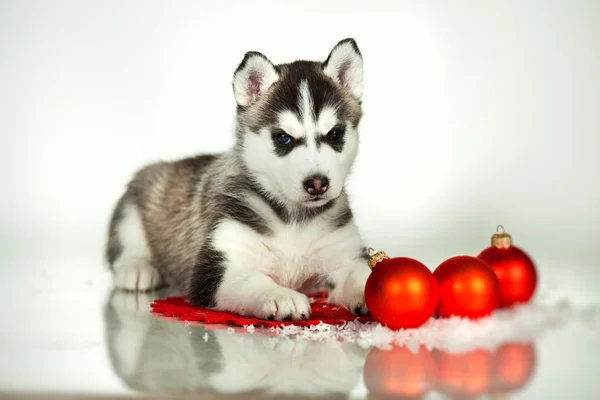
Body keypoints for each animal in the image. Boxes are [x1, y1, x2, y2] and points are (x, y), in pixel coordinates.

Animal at [106, 38, 370, 322]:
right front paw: (281, 296)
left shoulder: (345, 255)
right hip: (133, 206)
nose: (317, 183)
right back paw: (136, 269)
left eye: (334, 134)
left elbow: (363, 277)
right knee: (127, 246)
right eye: (283, 138)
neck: (295, 220)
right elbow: (253, 280)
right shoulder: (215, 266)